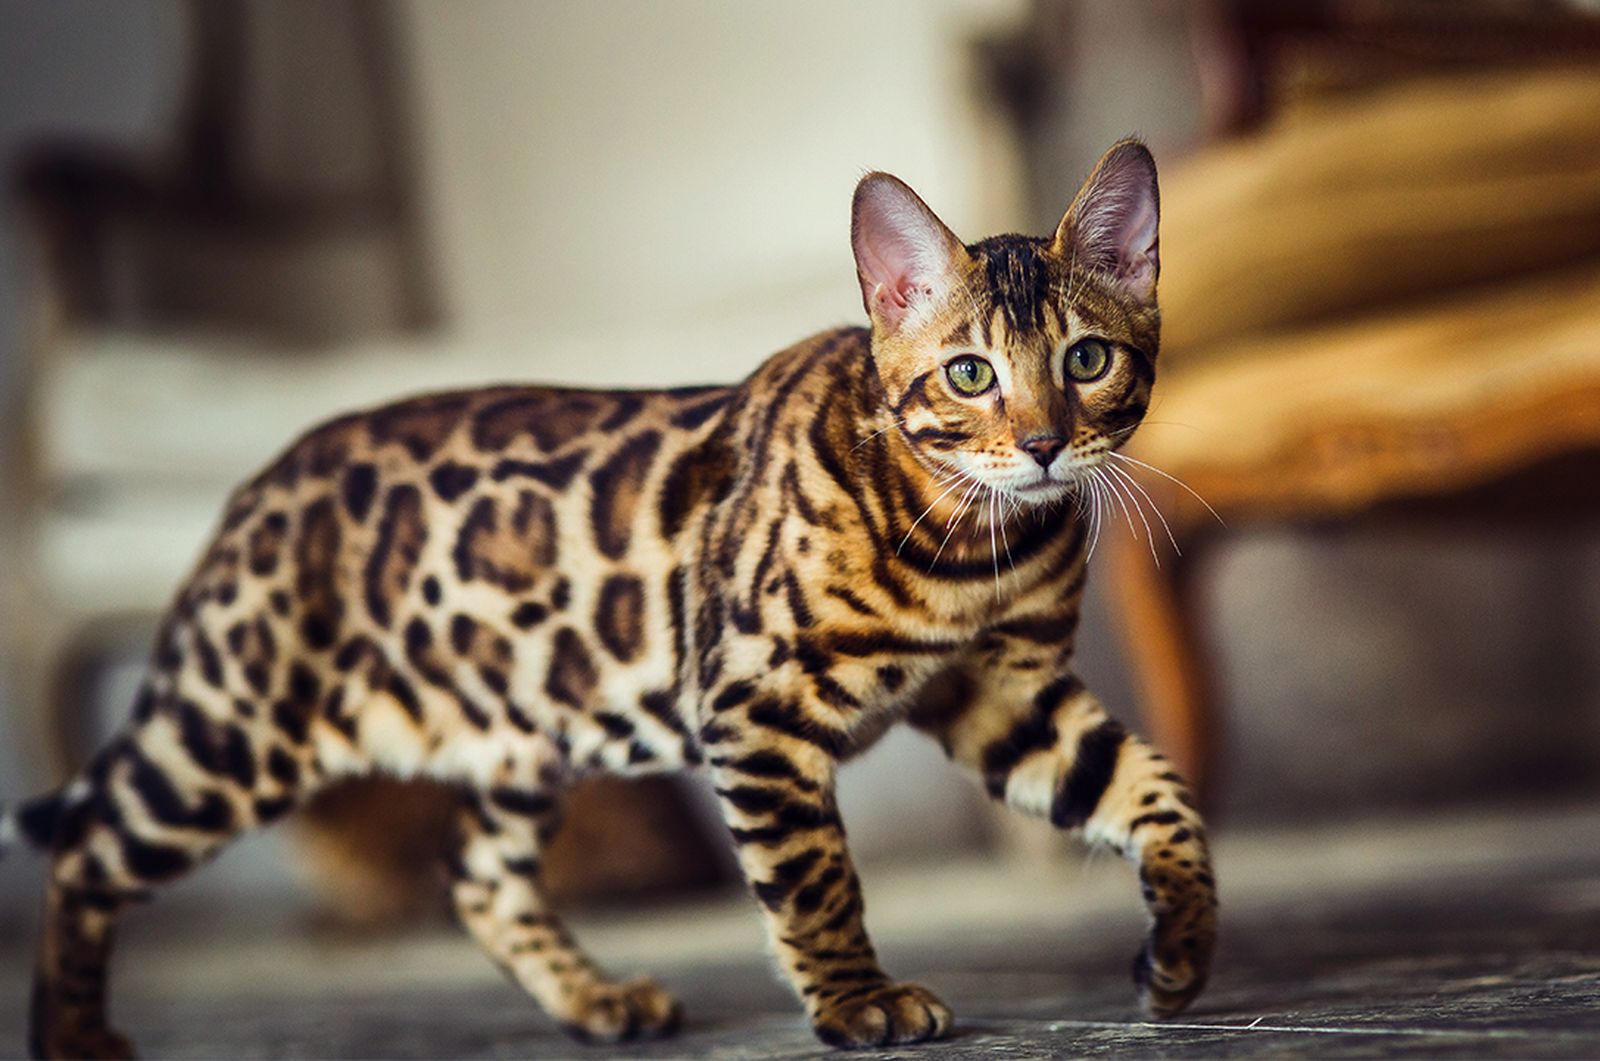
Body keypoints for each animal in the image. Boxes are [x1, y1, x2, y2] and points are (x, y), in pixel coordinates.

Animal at [6, 139, 1216, 1056]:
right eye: (970, 374)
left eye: (1088, 359)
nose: (1046, 445)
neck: (976, 543)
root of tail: (250, 492)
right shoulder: (753, 705)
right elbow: (814, 873)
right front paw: (856, 1000)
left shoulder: (1006, 691)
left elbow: (1159, 794)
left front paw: (1183, 945)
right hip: (229, 734)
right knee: (83, 848)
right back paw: (72, 1033)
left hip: (516, 733)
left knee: (475, 879)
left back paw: (595, 1000)